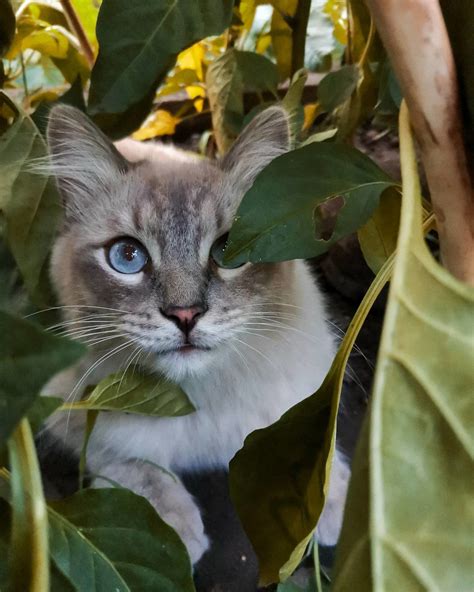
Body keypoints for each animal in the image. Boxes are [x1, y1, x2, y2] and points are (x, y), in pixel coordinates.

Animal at [41, 104, 348, 568]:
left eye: (228, 252)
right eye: (127, 257)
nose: (185, 315)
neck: (200, 397)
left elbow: (304, 441)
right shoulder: (63, 403)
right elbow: (129, 457)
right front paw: (171, 528)